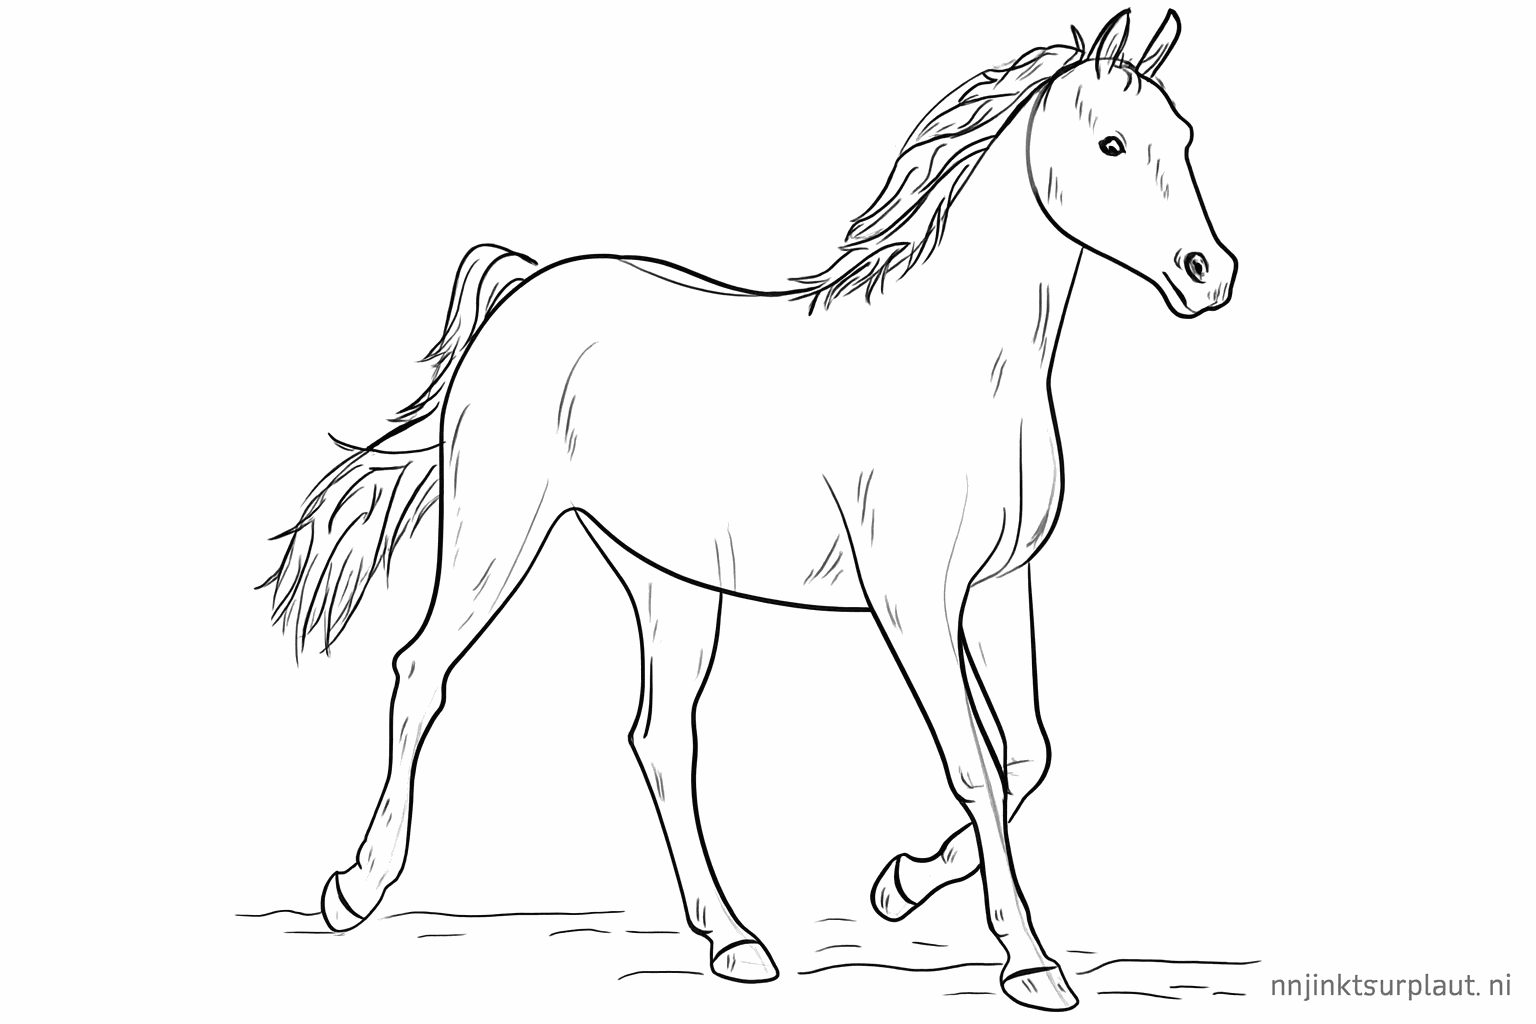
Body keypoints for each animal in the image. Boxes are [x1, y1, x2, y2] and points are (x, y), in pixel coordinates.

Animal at [262, 8, 1235, 1011]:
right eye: (1112, 143)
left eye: (1185, 137)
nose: (1209, 275)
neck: (964, 367)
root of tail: (526, 285)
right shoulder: (914, 603)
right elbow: (974, 767)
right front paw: (1030, 963)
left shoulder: (1002, 587)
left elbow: (1025, 758)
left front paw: (900, 886)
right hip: (496, 536)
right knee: (422, 673)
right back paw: (355, 889)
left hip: (669, 581)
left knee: (660, 738)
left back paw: (731, 940)